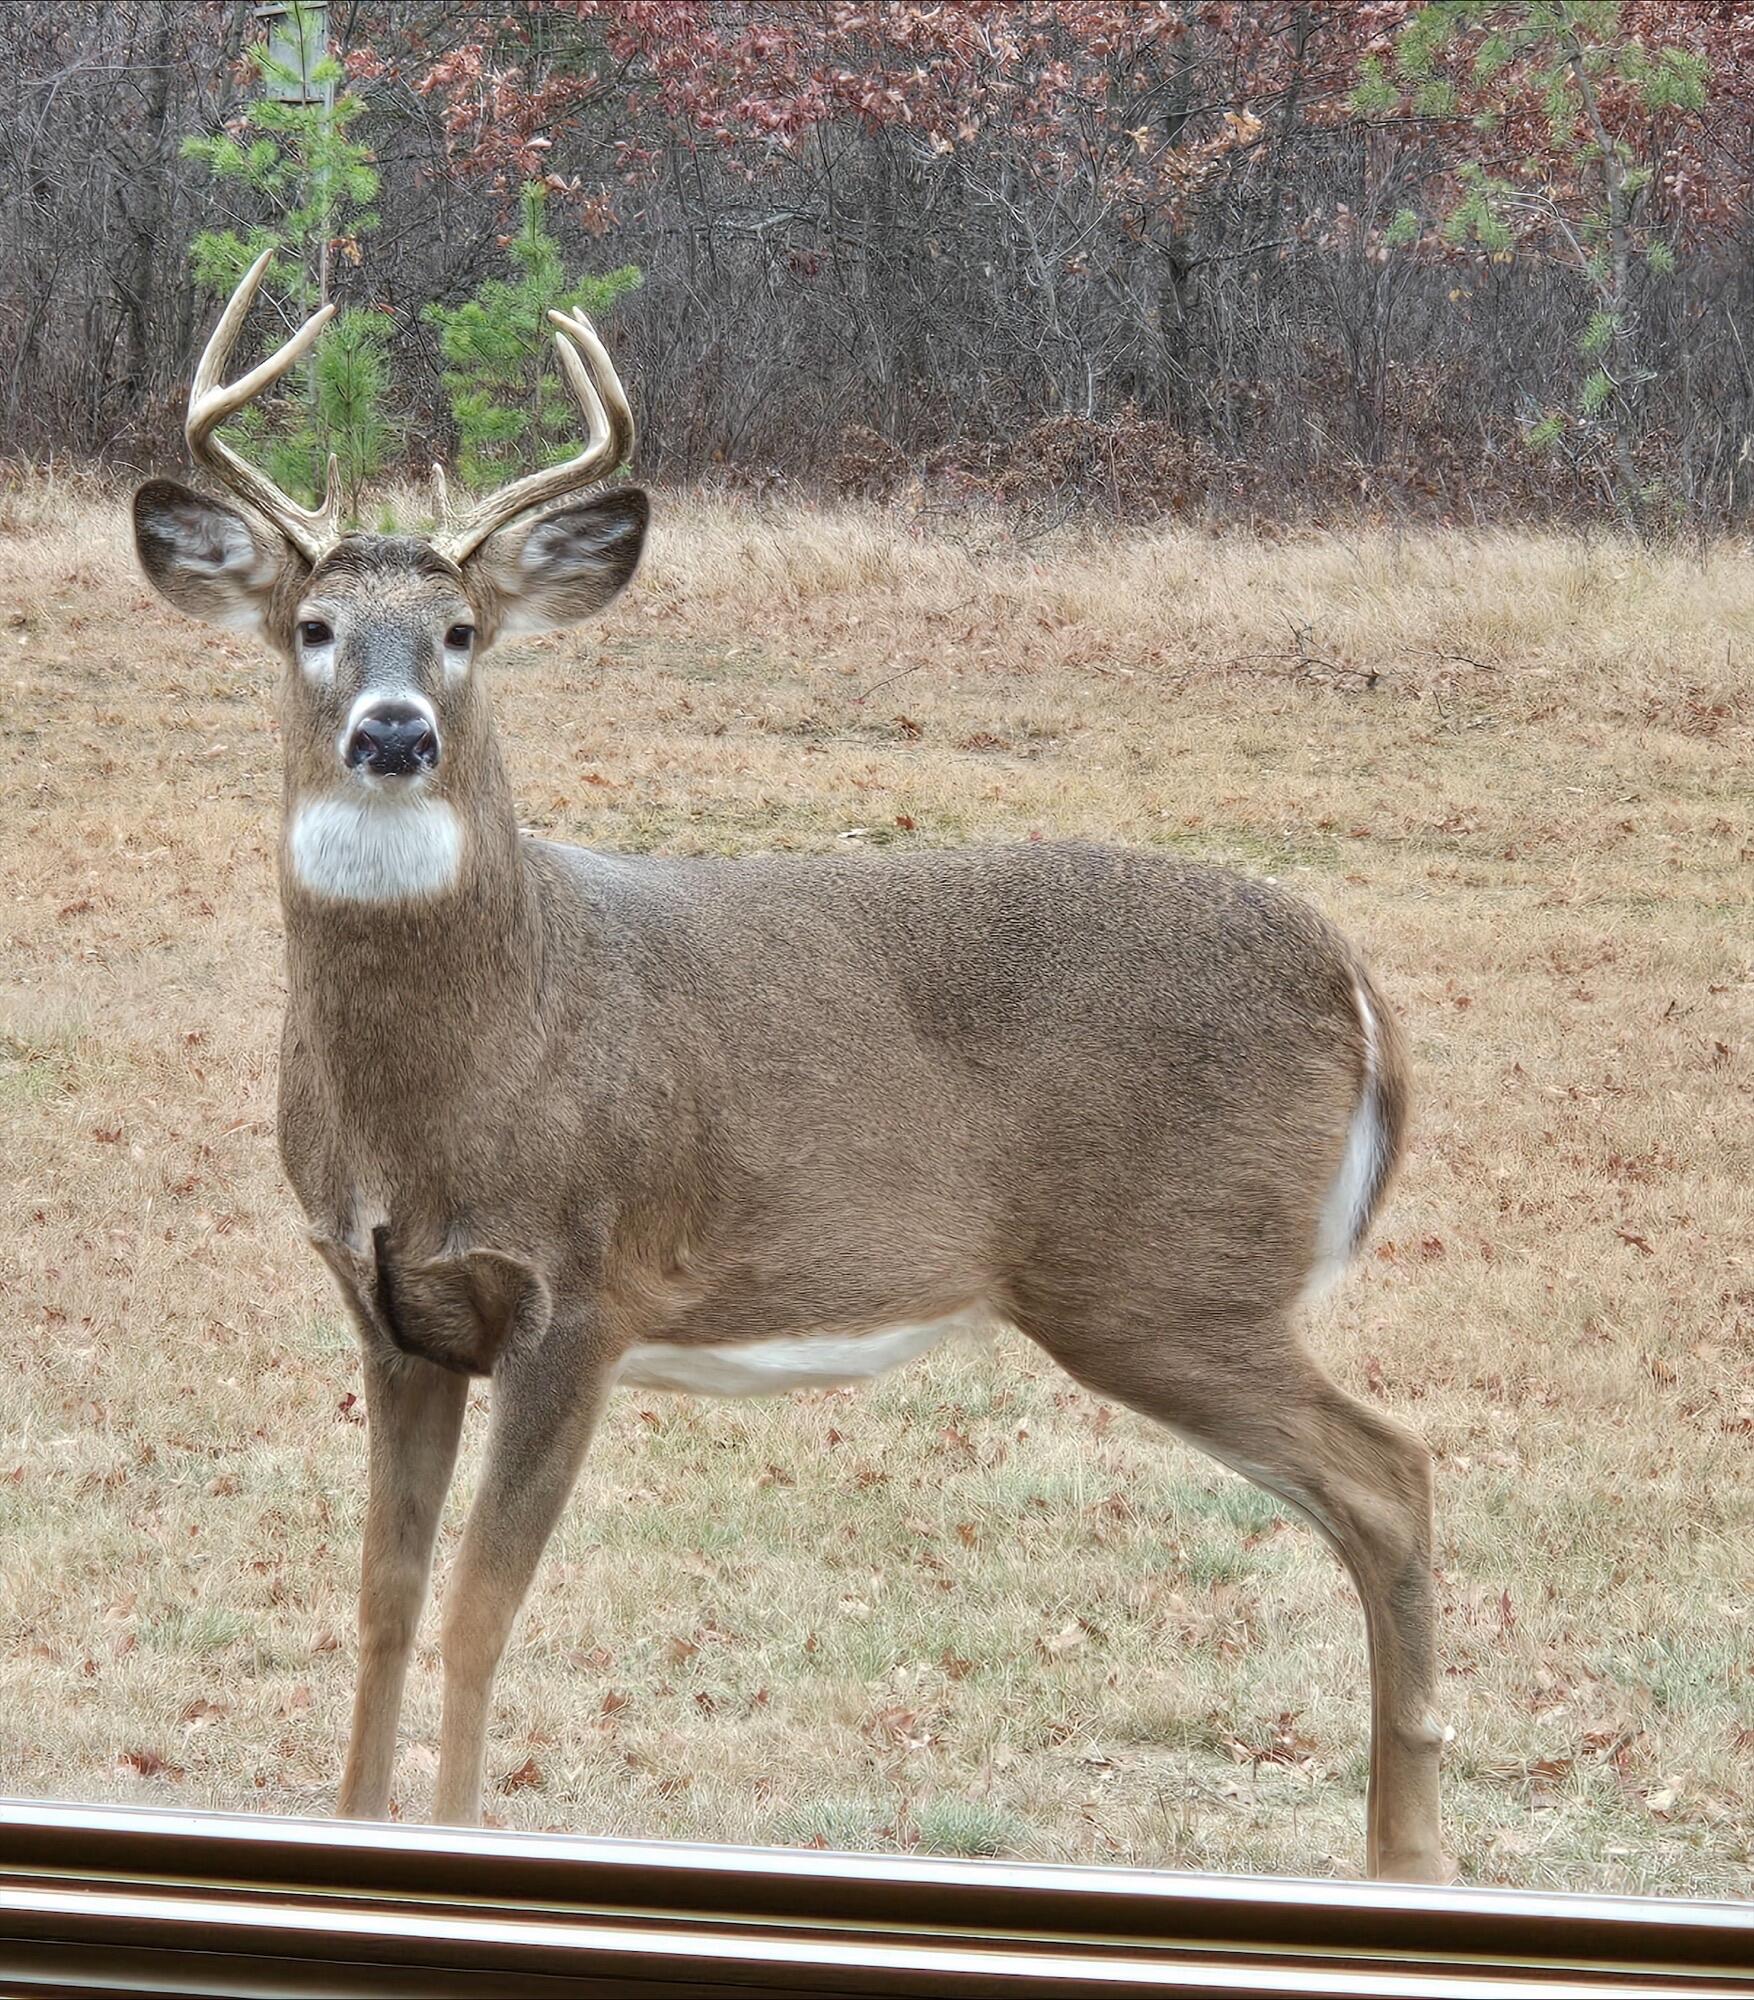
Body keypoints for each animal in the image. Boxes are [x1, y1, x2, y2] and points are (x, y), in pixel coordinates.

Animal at [131, 252, 1452, 1883]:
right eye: (312, 625)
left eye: (463, 633)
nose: (392, 733)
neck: (459, 1078)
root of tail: (1353, 978)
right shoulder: (389, 1309)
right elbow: (380, 1604)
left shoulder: (582, 1291)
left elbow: (477, 1616)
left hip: (1167, 1276)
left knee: (1391, 1478)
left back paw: (1411, 1857)